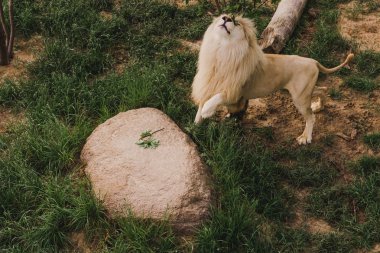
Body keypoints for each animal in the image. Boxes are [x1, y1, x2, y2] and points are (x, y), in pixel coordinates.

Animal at [191, 13, 354, 144]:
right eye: (223, 16)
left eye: (236, 23)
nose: (226, 19)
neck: (221, 50)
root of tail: (313, 61)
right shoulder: (208, 84)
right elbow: (202, 104)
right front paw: (195, 126)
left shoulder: (235, 93)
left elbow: (216, 98)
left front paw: (206, 112)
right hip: (302, 91)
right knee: (323, 89)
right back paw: (319, 106)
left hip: (299, 97)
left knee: (311, 117)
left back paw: (305, 137)